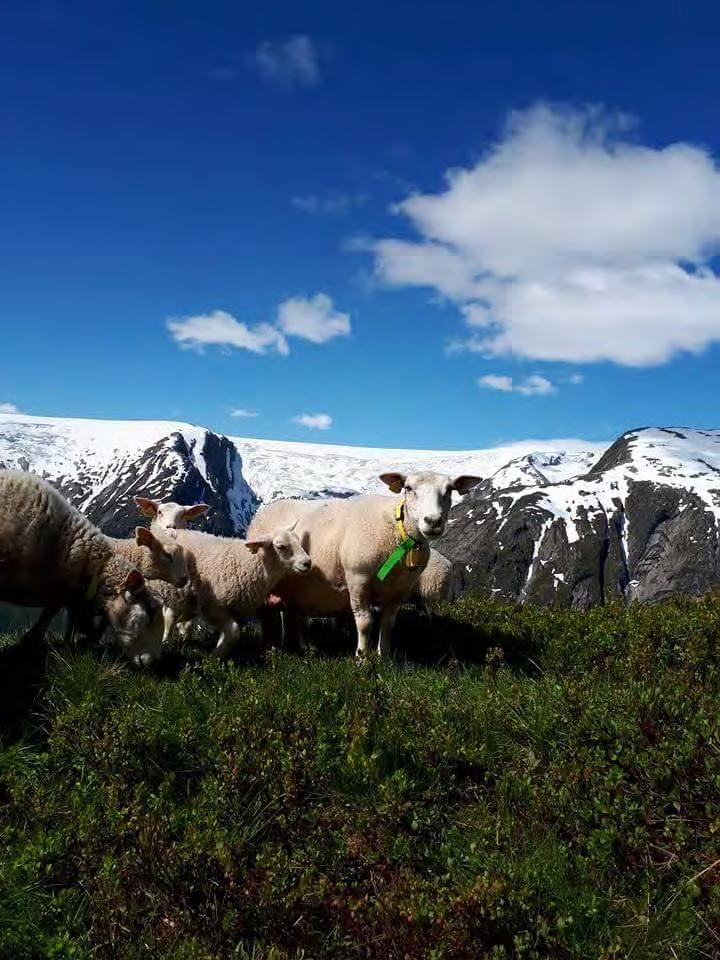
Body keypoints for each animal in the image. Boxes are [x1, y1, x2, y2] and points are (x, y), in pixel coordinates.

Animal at [170, 520, 314, 656]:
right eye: (281, 546)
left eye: (298, 540)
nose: (307, 563)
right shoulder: (212, 606)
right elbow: (234, 632)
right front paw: (214, 656)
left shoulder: (235, 611)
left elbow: (231, 633)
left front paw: (218, 652)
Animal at [250, 474, 480, 660]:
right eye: (408, 488)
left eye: (449, 489)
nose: (433, 521)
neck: (397, 530)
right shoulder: (358, 579)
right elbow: (365, 622)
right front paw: (361, 657)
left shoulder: (400, 590)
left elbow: (387, 624)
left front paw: (383, 655)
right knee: (269, 618)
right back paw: (270, 649)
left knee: (291, 615)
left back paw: (298, 647)